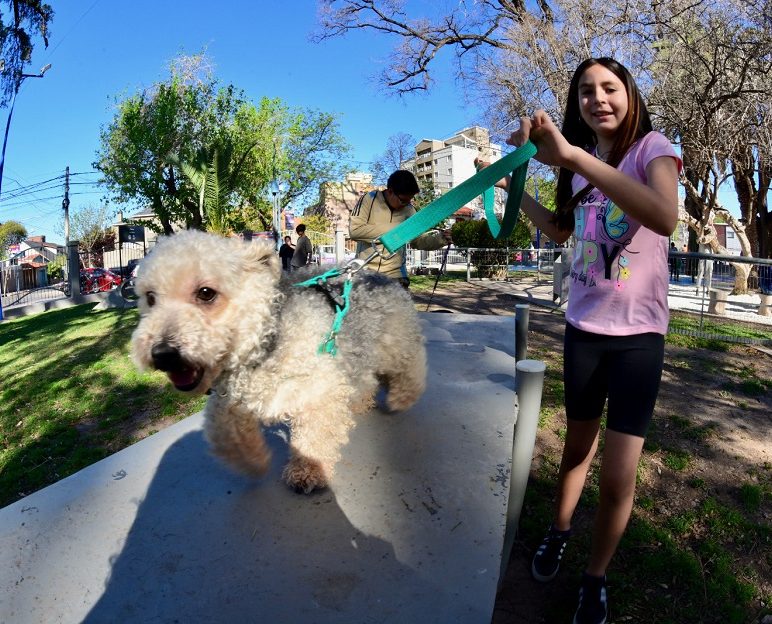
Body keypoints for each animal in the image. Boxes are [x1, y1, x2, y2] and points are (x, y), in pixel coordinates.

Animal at [131, 230, 427, 493]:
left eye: (206, 293)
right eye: (150, 298)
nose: (162, 353)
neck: (264, 344)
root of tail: (377, 275)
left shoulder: (320, 388)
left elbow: (314, 435)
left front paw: (308, 470)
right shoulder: (230, 400)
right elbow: (224, 433)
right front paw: (254, 461)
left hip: (395, 343)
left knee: (413, 364)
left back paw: (402, 397)